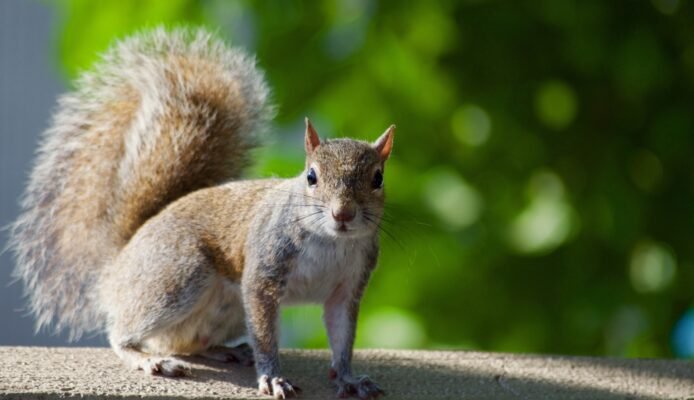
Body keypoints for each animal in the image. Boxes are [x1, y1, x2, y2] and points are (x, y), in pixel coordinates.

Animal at [9, 27, 393, 399]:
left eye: (378, 178)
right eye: (311, 176)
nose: (343, 214)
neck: (330, 242)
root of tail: (117, 266)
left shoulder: (348, 286)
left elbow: (342, 338)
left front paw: (349, 378)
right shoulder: (264, 272)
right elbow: (266, 335)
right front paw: (272, 377)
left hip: (225, 309)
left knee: (189, 341)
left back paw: (225, 350)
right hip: (176, 277)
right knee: (123, 334)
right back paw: (149, 360)